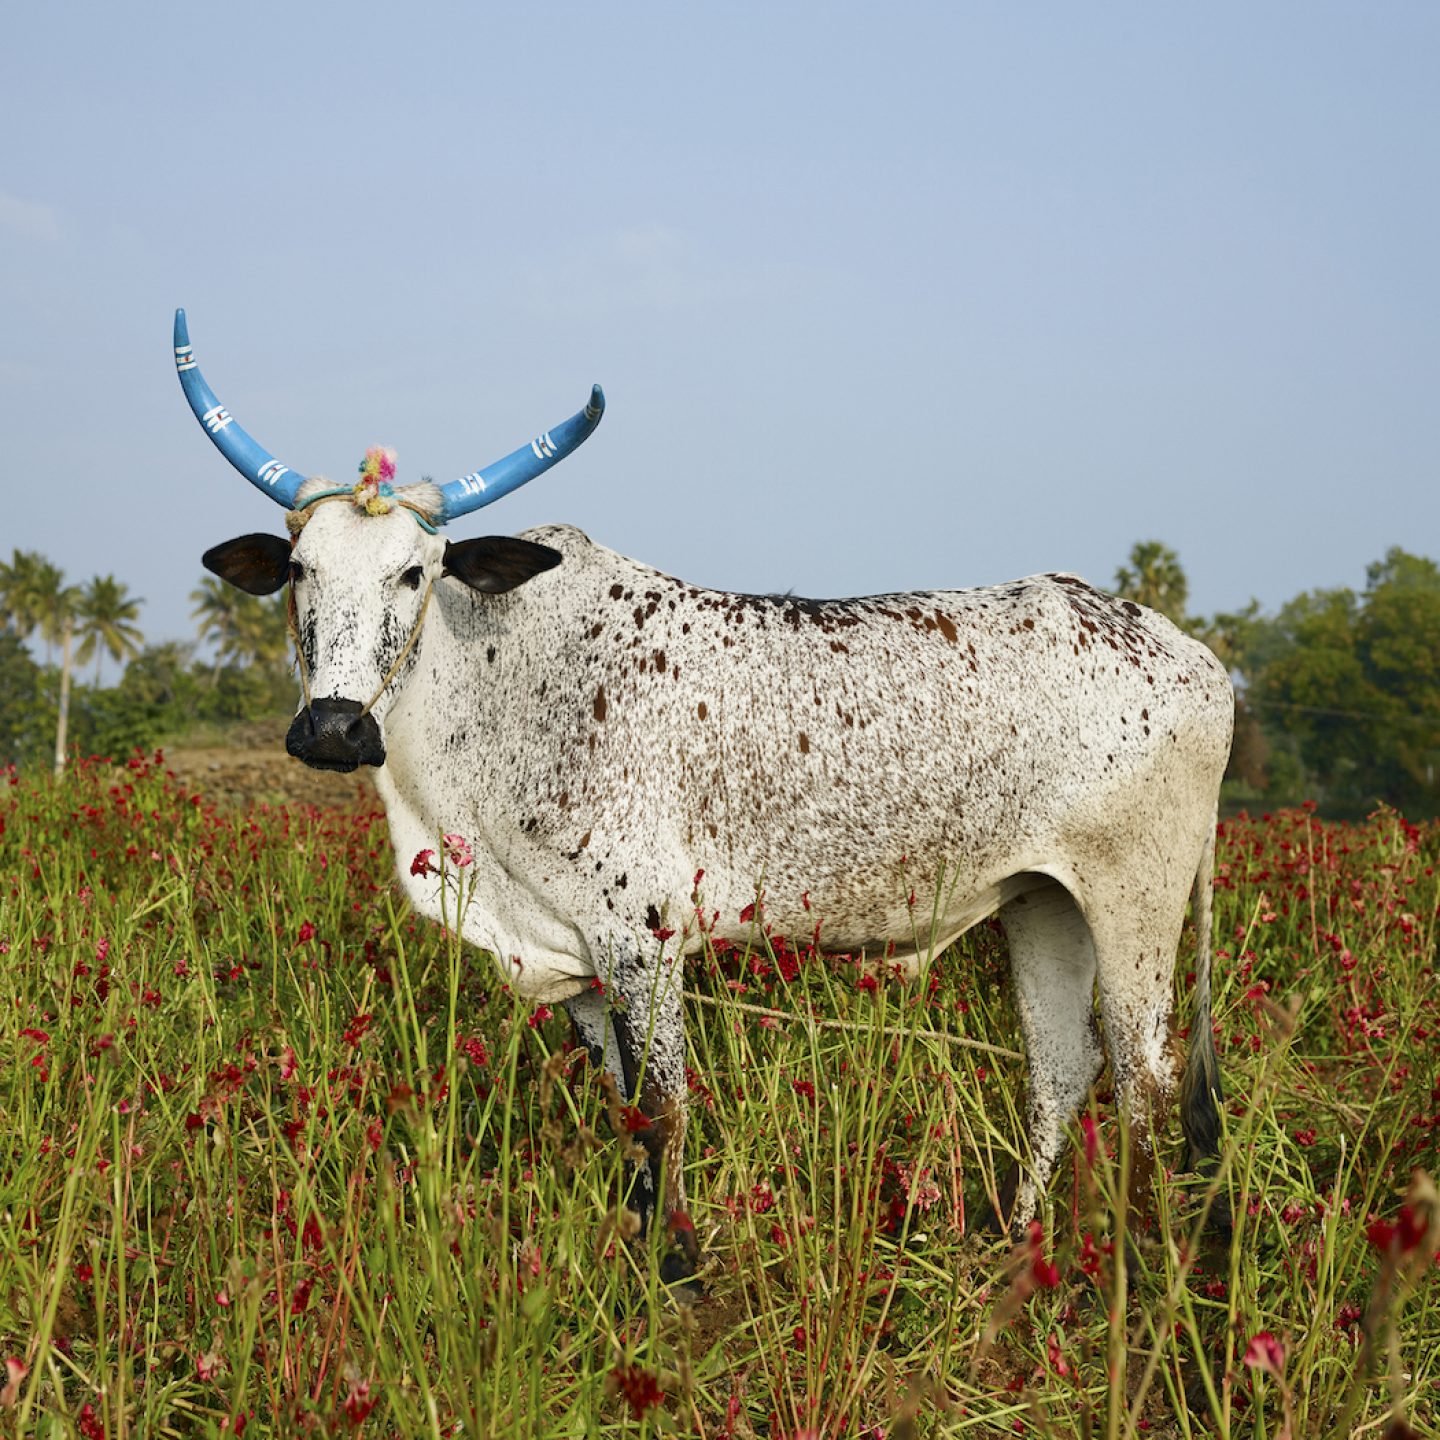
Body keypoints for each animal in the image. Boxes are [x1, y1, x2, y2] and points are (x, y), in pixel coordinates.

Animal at [177, 306, 1238, 1272]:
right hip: (1043, 902)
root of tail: (1193, 656)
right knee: (1062, 1068)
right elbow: (623, 1113)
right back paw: (1015, 1259)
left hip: (1135, 904)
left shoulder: (643, 937)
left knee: (1145, 1083)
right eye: (299, 571)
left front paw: (678, 1279)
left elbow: (663, 1110)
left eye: (414, 572)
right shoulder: (577, 962)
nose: (333, 729)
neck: (495, 683)